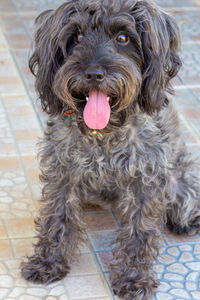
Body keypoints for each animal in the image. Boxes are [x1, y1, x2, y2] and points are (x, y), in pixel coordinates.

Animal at [20, 0, 200, 300]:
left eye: (123, 38)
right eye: (77, 37)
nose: (93, 73)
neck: (103, 134)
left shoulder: (145, 182)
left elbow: (139, 232)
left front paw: (133, 278)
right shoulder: (63, 173)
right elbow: (57, 217)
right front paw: (48, 261)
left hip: (181, 184)